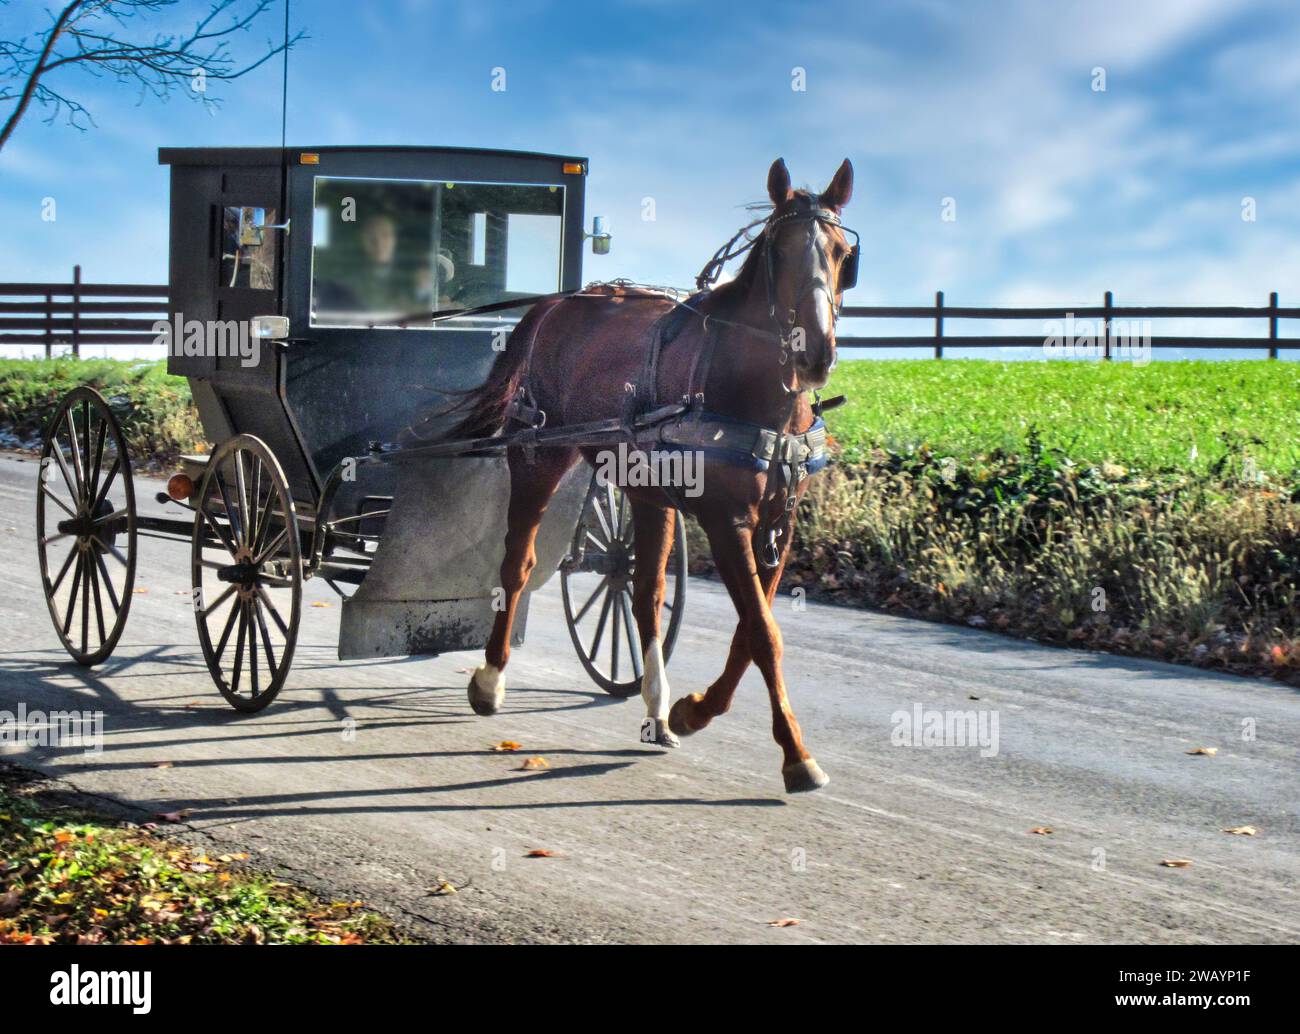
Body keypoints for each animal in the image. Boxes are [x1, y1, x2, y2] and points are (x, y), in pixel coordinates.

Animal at [447, 157, 855, 793]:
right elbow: (764, 632)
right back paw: (491, 679)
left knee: (643, 592)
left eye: (841, 252)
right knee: (517, 565)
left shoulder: (779, 524)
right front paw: (795, 753)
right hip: (538, 456)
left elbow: (751, 630)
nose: (815, 352)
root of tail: (554, 305)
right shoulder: (725, 520)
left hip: (647, 494)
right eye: (779, 251)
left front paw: (694, 710)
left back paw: (657, 708)